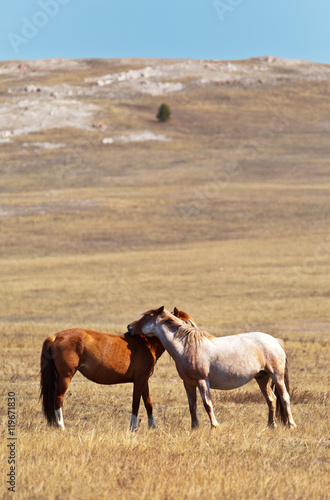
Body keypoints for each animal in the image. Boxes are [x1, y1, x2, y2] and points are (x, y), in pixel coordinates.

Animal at [40, 308, 195, 430]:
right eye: (185, 322)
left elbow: (148, 403)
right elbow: (136, 403)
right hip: (65, 377)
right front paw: (134, 427)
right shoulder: (139, 380)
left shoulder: (144, 380)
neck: (146, 343)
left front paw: (153, 427)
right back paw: (61, 426)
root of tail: (55, 336)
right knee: (58, 399)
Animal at [127, 304, 296, 430]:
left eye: (146, 317)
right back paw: (271, 425)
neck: (188, 347)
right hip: (262, 378)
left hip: (277, 376)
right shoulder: (188, 383)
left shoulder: (202, 381)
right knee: (271, 399)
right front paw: (194, 427)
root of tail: (274, 340)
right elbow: (192, 406)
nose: (129, 327)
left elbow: (207, 404)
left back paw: (291, 424)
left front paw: (214, 426)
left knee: (284, 397)